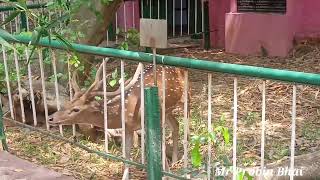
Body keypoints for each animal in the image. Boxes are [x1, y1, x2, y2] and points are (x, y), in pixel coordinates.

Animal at [48, 62, 189, 163]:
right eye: (68, 103)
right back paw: (175, 161)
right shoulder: (128, 129)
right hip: (167, 111)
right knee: (176, 125)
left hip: (186, 98)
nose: (50, 118)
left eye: (76, 109)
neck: (125, 112)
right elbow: (126, 157)